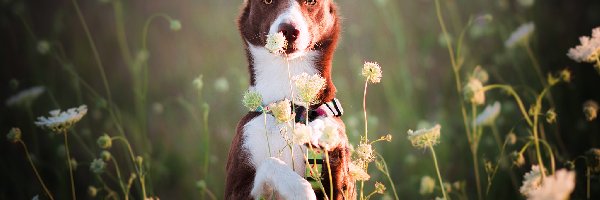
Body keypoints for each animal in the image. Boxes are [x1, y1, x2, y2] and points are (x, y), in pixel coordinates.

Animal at [227, 0, 354, 199]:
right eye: (268, 1)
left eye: (311, 2)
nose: (289, 29)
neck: (289, 108)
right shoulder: (236, 185)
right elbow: (270, 163)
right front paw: (300, 189)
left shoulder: (341, 186)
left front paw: (321, 131)